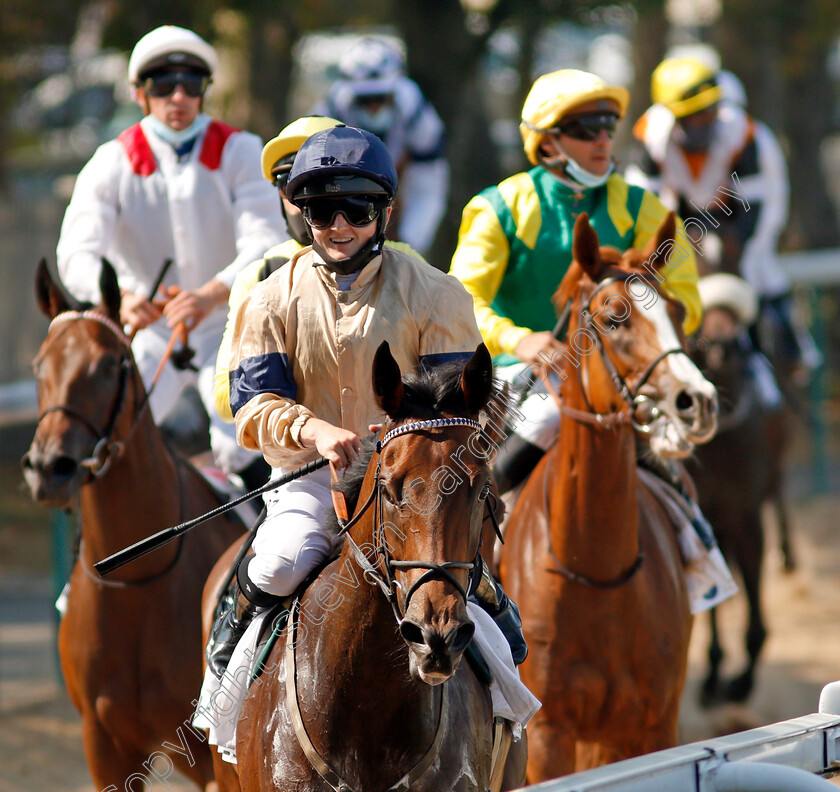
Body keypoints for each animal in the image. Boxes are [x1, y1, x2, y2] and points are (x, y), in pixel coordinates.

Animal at [21, 258, 246, 784]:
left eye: (108, 365)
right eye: (40, 366)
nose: (49, 467)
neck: (136, 576)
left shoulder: (202, 755)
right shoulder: (103, 745)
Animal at [496, 210, 720, 780]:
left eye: (678, 311)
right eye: (614, 318)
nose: (697, 402)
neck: (594, 572)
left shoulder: (650, 726)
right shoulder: (549, 735)